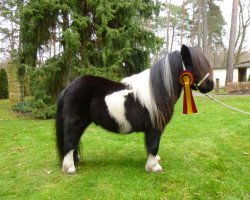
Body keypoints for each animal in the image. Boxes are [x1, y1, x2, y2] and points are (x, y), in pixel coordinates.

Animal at [55, 45, 214, 173]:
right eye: (193, 64)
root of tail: (68, 88)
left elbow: (151, 146)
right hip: (76, 122)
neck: (158, 90)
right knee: (70, 141)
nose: (210, 85)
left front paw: (154, 161)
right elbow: (154, 145)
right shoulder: (154, 128)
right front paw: (153, 167)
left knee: (74, 141)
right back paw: (69, 168)